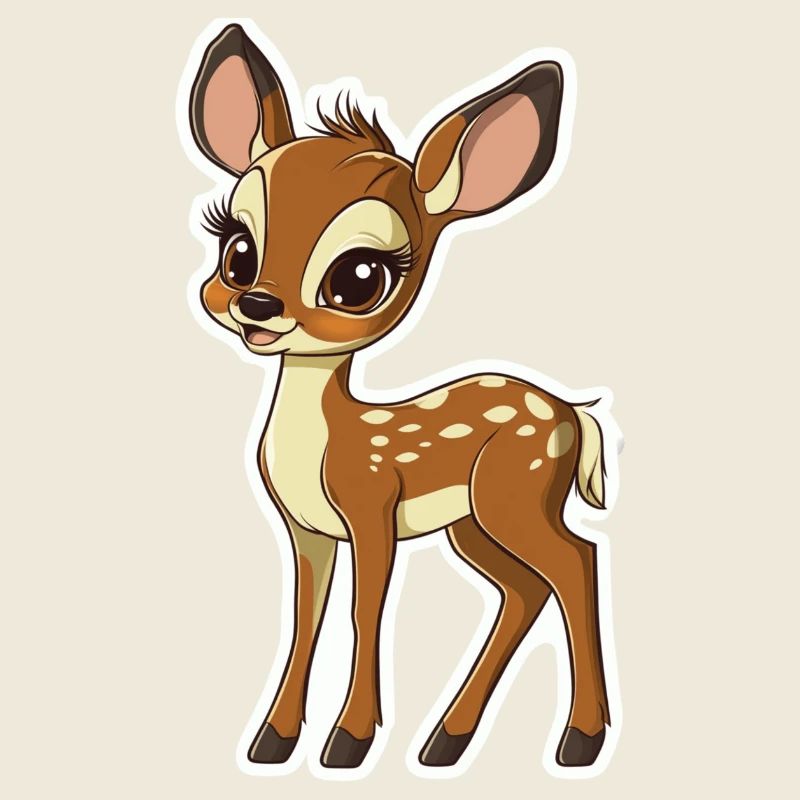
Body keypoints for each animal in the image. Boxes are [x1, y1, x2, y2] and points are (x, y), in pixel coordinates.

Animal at [185, 23, 614, 772]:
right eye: (236, 249)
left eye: (360, 276)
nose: (257, 305)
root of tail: (572, 416)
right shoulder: (306, 528)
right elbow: (306, 615)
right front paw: (274, 739)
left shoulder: (372, 508)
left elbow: (366, 610)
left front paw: (348, 742)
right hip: (473, 522)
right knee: (525, 588)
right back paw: (447, 740)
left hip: (518, 495)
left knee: (576, 562)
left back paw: (579, 741)